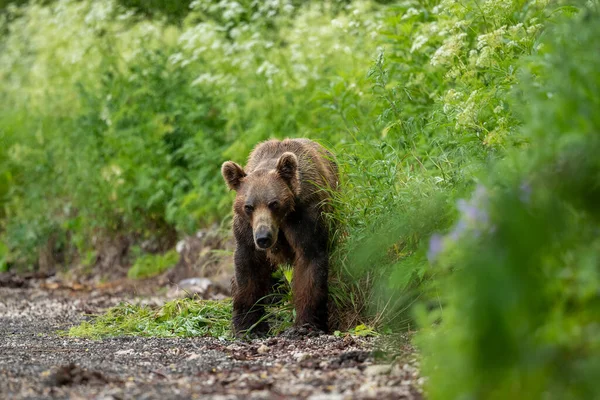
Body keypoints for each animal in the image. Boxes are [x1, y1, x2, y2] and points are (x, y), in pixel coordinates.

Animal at [223, 139, 340, 336]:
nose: (263, 237)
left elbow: (310, 261)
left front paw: (307, 324)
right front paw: (249, 325)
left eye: (273, 203)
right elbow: (248, 268)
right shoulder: (246, 230)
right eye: (249, 206)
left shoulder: (304, 217)